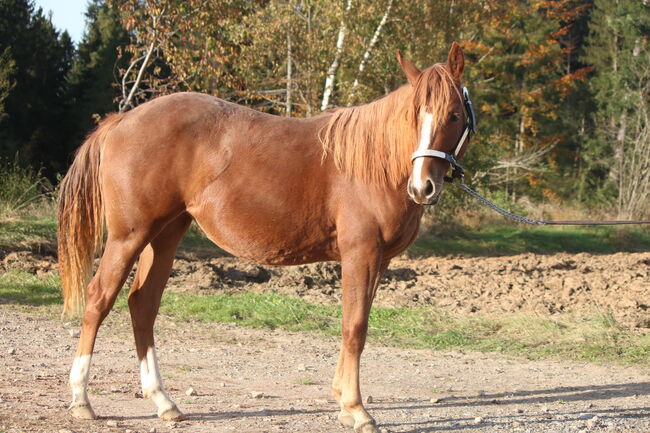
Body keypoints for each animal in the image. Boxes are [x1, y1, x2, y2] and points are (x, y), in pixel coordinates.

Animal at [57, 41, 470, 432]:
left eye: (454, 115)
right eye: (415, 115)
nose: (423, 187)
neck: (374, 163)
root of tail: (123, 119)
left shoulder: (378, 261)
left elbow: (355, 325)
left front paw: (343, 403)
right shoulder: (361, 254)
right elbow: (354, 328)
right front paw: (357, 410)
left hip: (165, 235)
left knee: (143, 304)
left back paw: (163, 401)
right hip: (129, 236)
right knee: (99, 299)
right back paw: (80, 400)